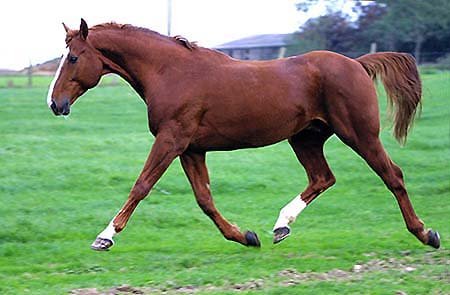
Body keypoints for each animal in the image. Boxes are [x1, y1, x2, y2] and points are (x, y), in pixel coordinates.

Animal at [46, 19, 440, 252]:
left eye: (74, 58)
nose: (54, 103)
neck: (171, 72)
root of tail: (357, 63)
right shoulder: (191, 149)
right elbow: (204, 199)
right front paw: (246, 237)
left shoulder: (171, 140)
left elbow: (142, 185)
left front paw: (105, 236)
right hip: (306, 138)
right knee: (322, 178)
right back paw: (280, 227)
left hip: (359, 134)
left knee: (393, 176)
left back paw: (426, 234)